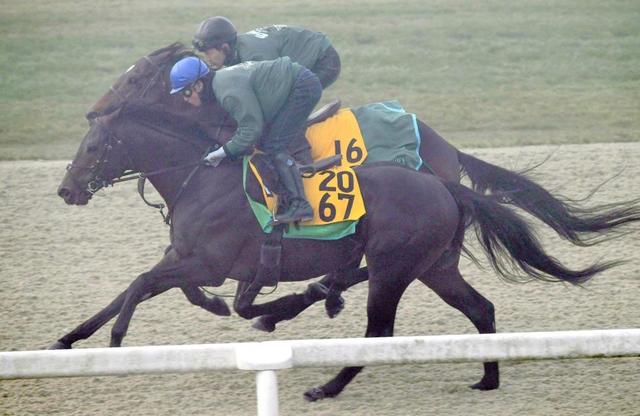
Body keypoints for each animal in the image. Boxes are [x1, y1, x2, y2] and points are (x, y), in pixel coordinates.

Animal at [55, 105, 636, 402]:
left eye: (92, 147)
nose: (66, 189)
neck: (203, 177)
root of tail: (446, 185)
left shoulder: (207, 262)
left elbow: (141, 287)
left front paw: (117, 342)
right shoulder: (190, 258)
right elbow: (131, 288)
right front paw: (68, 339)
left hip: (393, 266)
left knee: (378, 330)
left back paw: (326, 385)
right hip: (434, 267)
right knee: (481, 308)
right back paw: (487, 377)